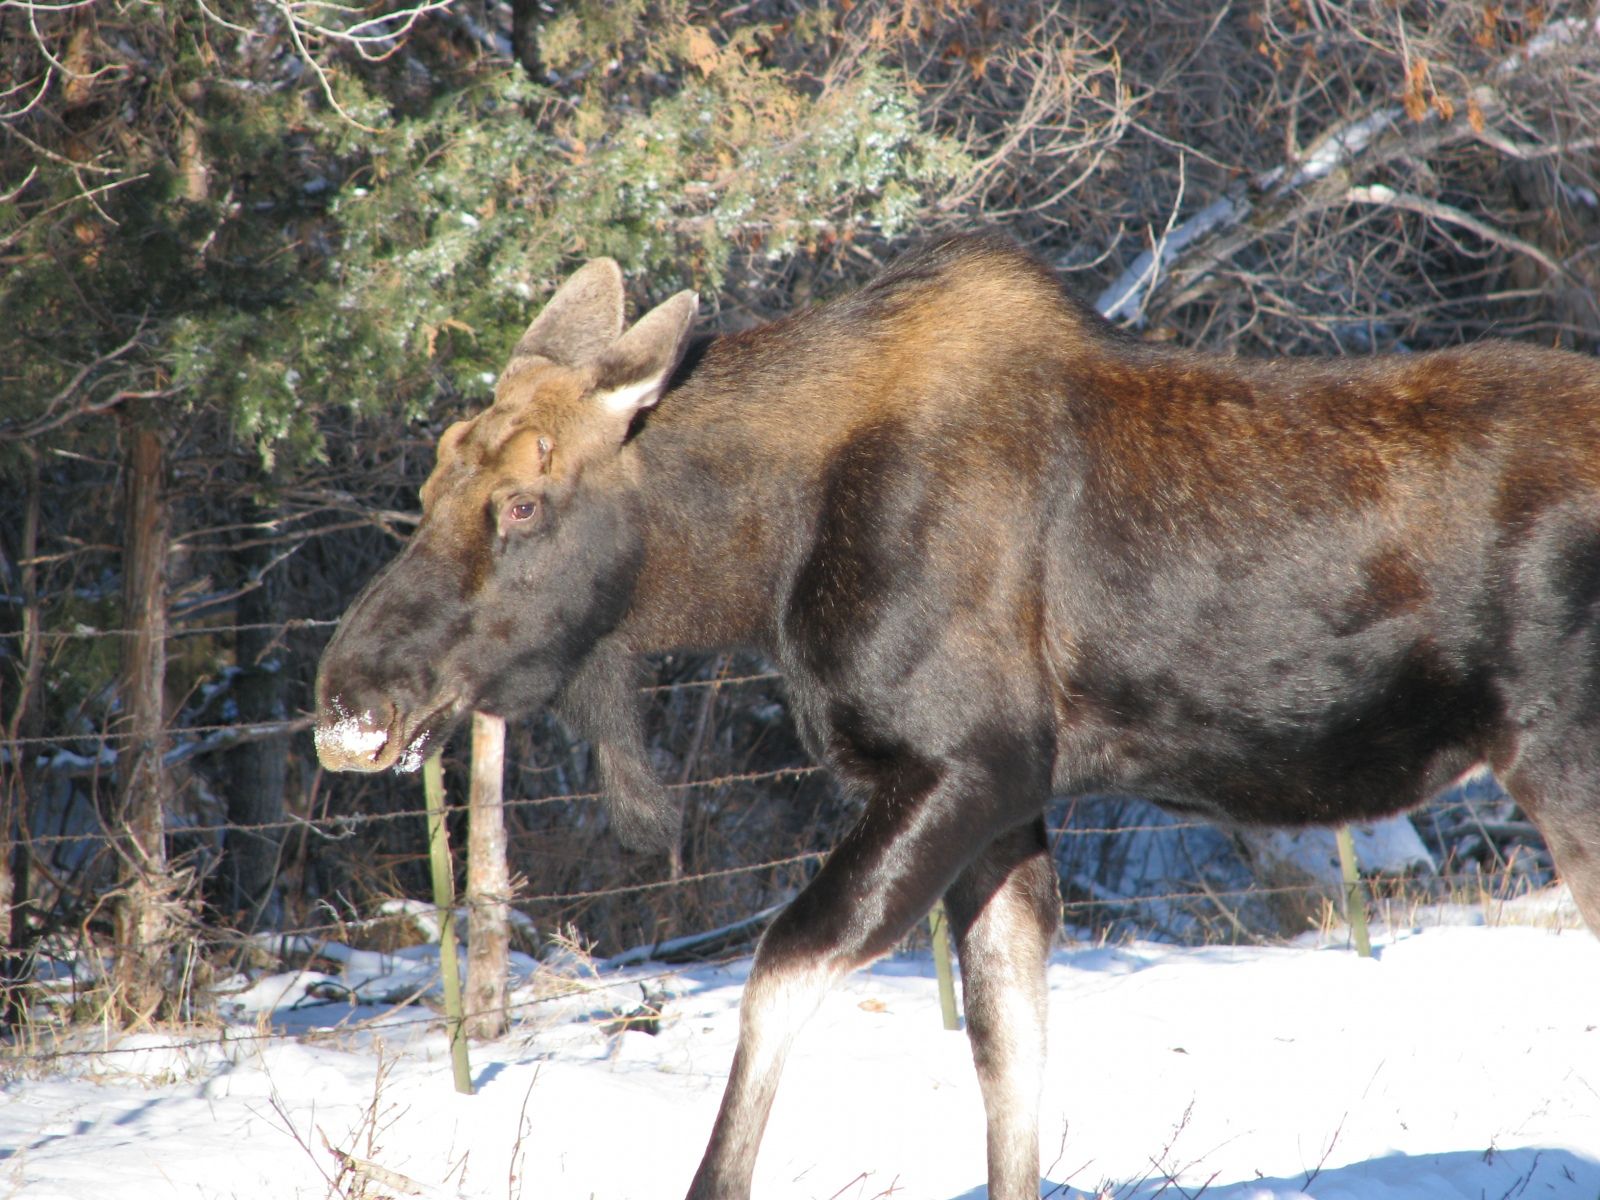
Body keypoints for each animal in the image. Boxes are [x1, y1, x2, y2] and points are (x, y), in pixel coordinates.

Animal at [314, 232, 1600, 1199]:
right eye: (433, 482)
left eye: (524, 503)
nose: (348, 700)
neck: (762, 554)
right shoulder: (1008, 806)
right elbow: (1006, 1054)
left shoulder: (959, 764)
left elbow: (780, 971)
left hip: (1563, 755)